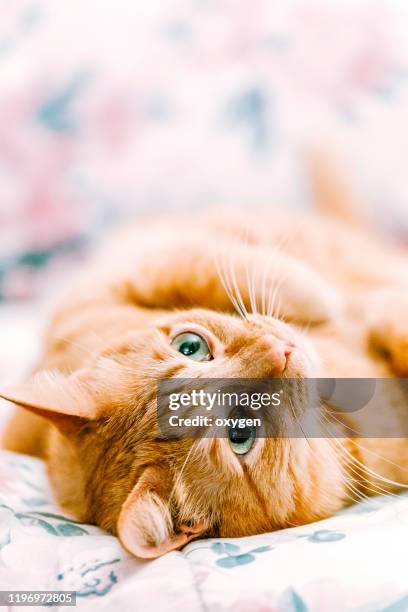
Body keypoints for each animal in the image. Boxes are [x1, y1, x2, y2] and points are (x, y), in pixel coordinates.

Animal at [0, 167, 408, 556]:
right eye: (240, 433)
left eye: (190, 346)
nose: (280, 348)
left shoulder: (100, 289)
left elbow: (200, 263)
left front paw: (318, 294)